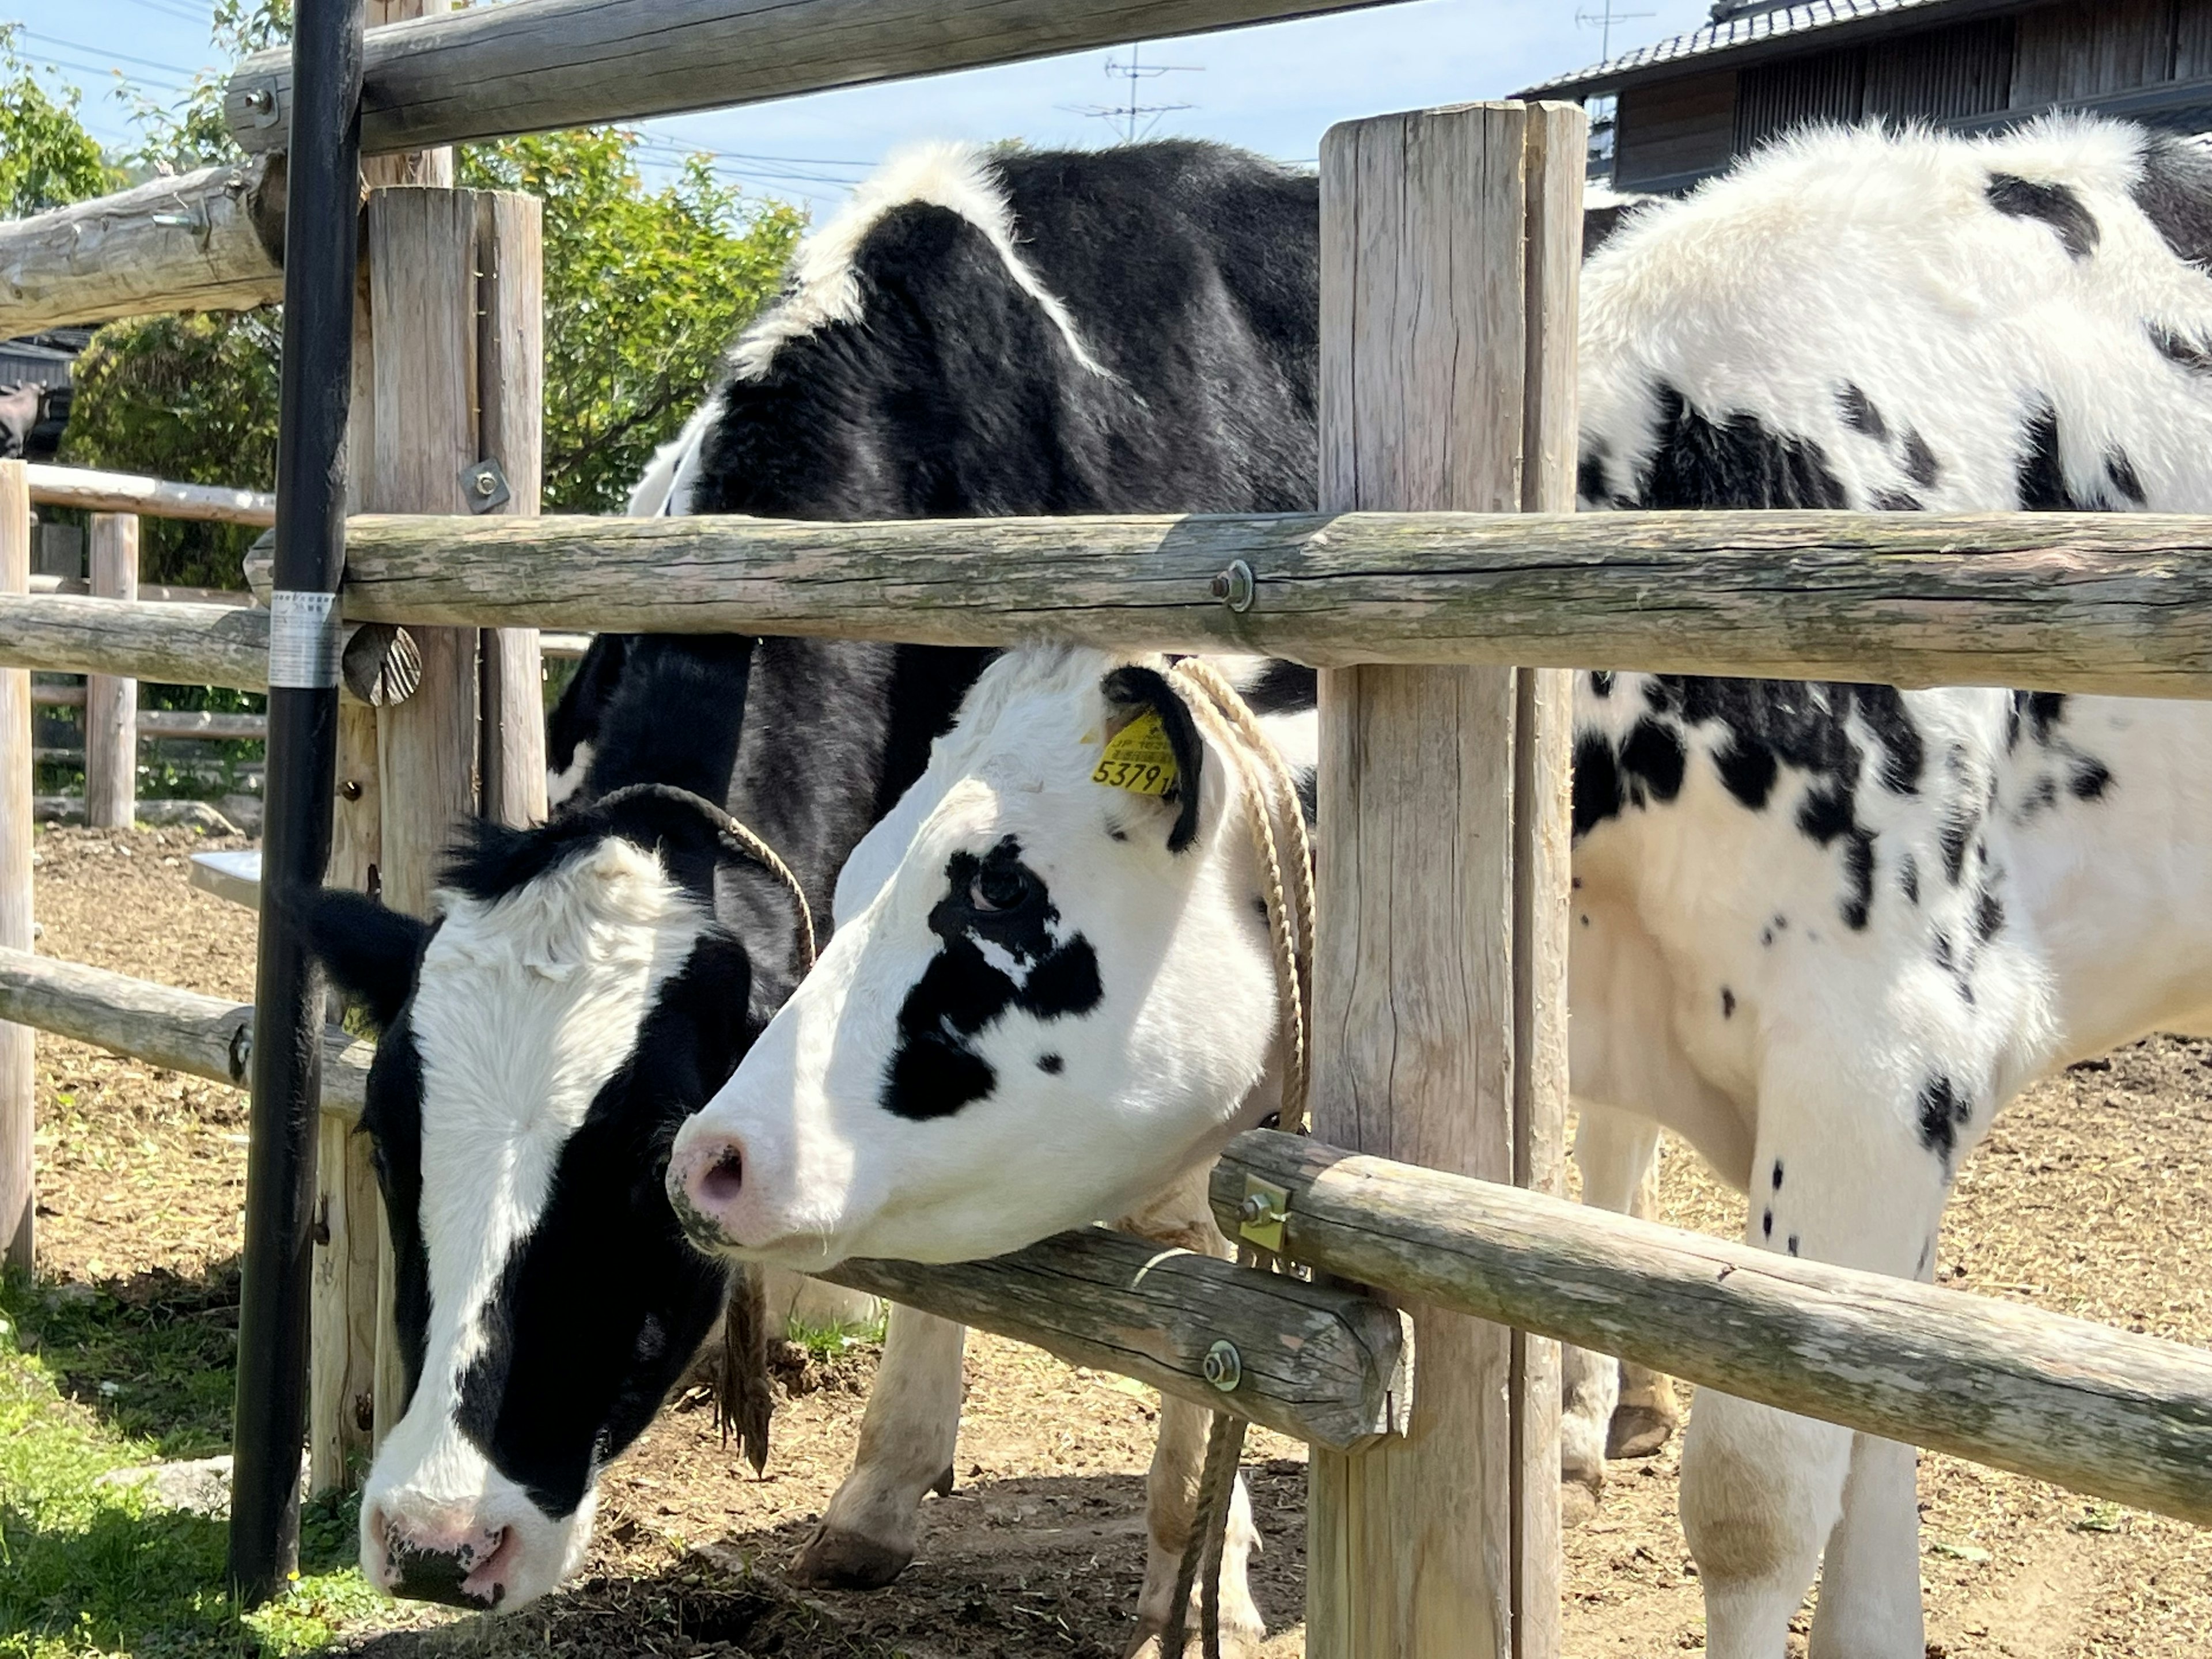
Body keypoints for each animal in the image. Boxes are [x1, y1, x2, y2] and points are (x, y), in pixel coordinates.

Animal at [305, 139, 1318, 1628]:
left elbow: (1207, 1281)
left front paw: (1204, 1576)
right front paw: (878, 1497)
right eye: (387, 1134)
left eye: (644, 1161)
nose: (439, 1537)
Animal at [672, 120, 2212, 1659]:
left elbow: (1766, 1488)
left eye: (995, 894)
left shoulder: (1877, 1054)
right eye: (856, 879)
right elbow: (1874, 1432)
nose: (711, 1156)